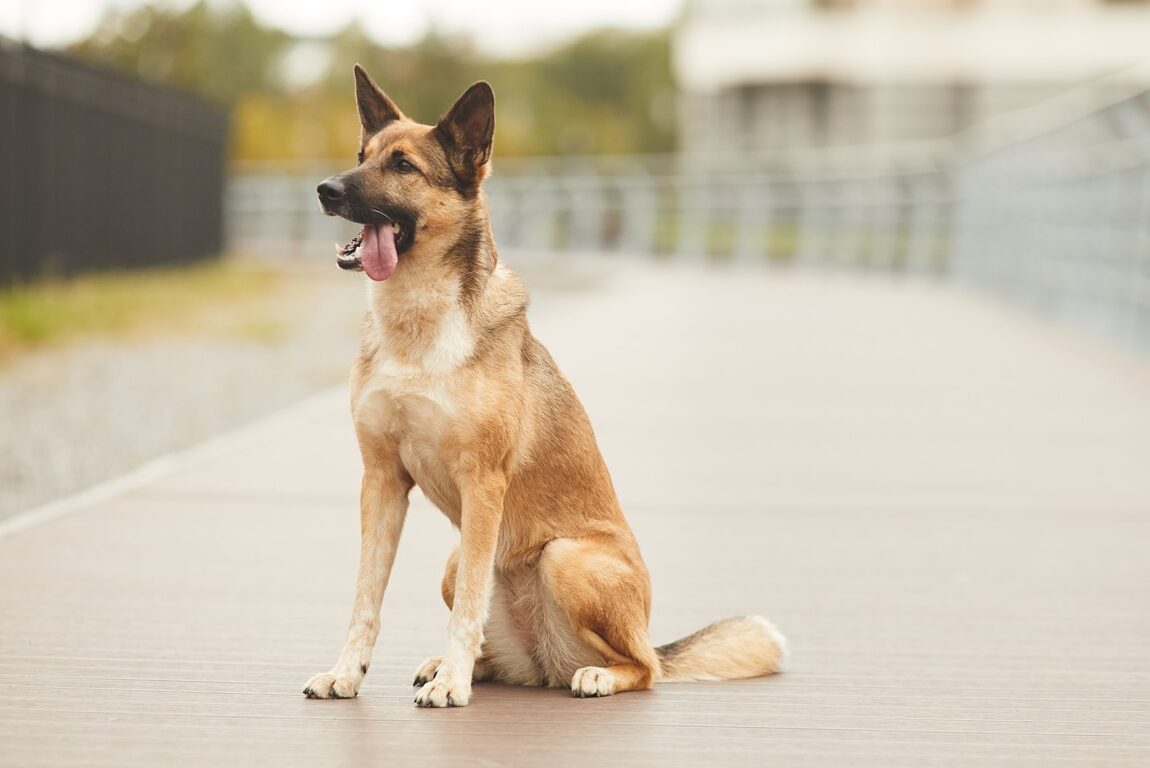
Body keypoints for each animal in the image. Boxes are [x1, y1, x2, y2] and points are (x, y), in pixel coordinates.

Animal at [301, 66, 786, 708]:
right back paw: (457, 665)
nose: (326, 190)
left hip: (563, 558)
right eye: (362, 157)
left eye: (403, 166)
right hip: (454, 563)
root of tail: (548, 662)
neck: (417, 327)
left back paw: (591, 674)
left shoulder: (482, 484)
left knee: (644, 668)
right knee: (501, 648)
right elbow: (366, 599)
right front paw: (348, 672)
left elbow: (467, 608)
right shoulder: (381, 482)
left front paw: (451, 686)